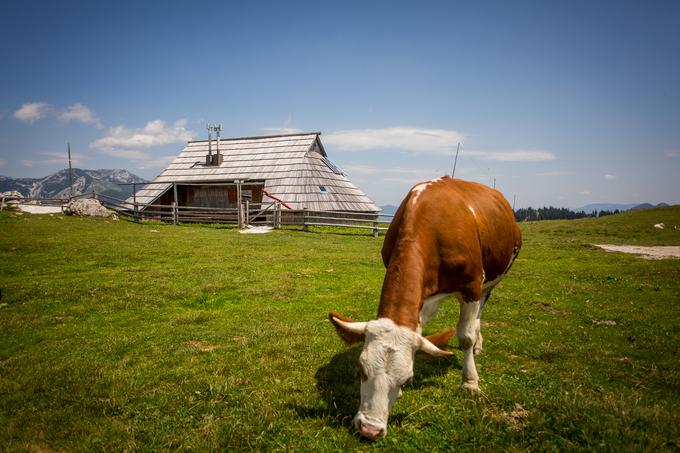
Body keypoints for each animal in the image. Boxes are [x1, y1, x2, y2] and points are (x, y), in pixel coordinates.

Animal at [330, 176, 520, 438]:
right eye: (360, 369)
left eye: (407, 379)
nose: (370, 429)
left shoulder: (472, 286)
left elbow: (465, 337)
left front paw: (470, 382)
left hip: (492, 281)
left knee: (479, 313)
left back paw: (478, 345)